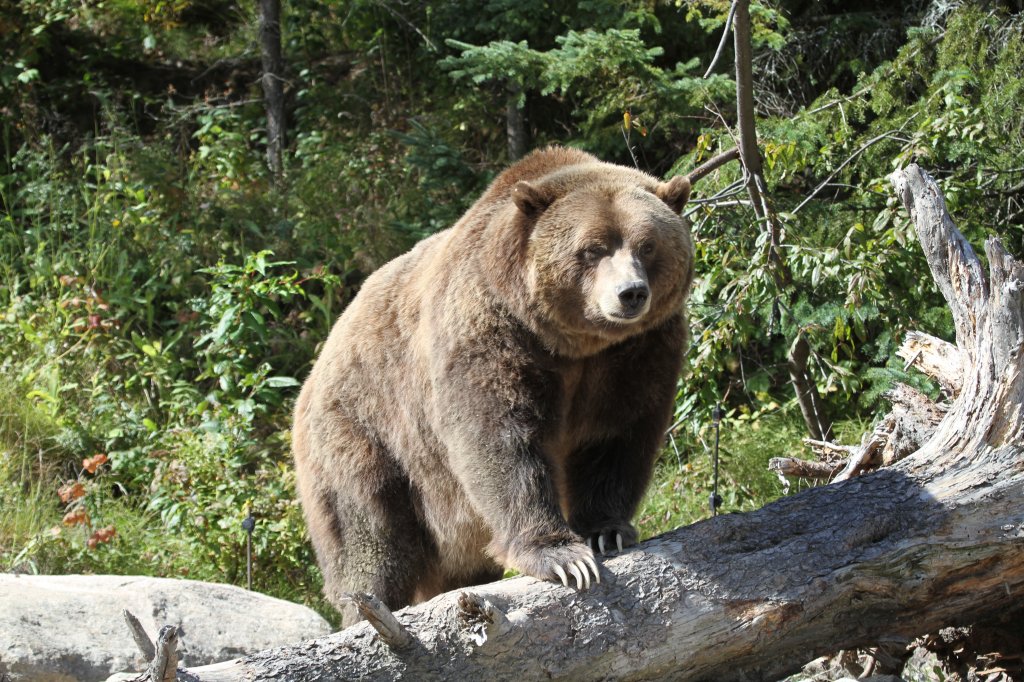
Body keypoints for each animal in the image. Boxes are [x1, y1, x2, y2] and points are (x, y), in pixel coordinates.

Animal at [296, 144, 696, 622]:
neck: (573, 343)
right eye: (592, 248)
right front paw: (562, 556)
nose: (630, 293)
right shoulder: (489, 329)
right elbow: (499, 438)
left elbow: (617, 433)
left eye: (648, 245)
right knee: (370, 534)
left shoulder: (637, 351)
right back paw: (369, 609)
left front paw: (607, 530)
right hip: (364, 430)